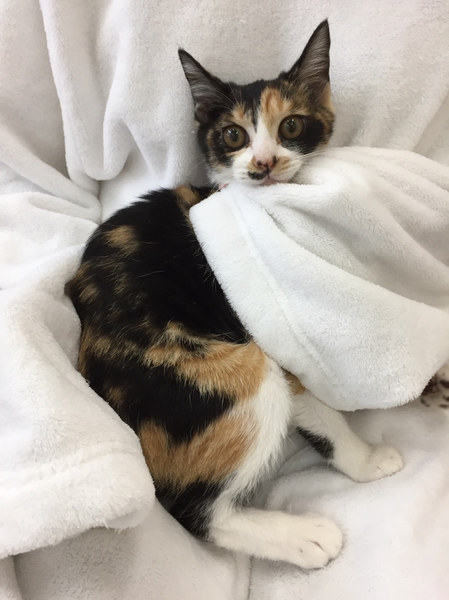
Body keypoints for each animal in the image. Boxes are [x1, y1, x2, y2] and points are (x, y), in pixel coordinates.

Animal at [66, 20, 403, 568]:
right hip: (230, 372)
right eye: (234, 135)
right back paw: (302, 537)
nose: (263, 161)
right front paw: (367, 461)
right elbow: (324, 414)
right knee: (193, 511)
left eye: (291, 126)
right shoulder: (272, 336)